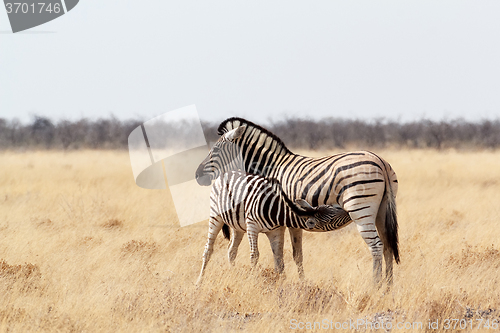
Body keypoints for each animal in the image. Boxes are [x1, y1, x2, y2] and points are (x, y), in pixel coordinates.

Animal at [195, 171, 340, 282]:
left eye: (331, 208)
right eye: (331, 218)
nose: (343, 209)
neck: (276, 208)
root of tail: (225, 173)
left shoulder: (276, 231)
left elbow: (279, 259)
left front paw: (280, 283)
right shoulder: (252, 225)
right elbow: (255, 255)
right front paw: (252, 280)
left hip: (238, 226)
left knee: (232, 250)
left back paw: (232, 274)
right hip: (216, 216)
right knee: (208, 250)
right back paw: (199, 281)